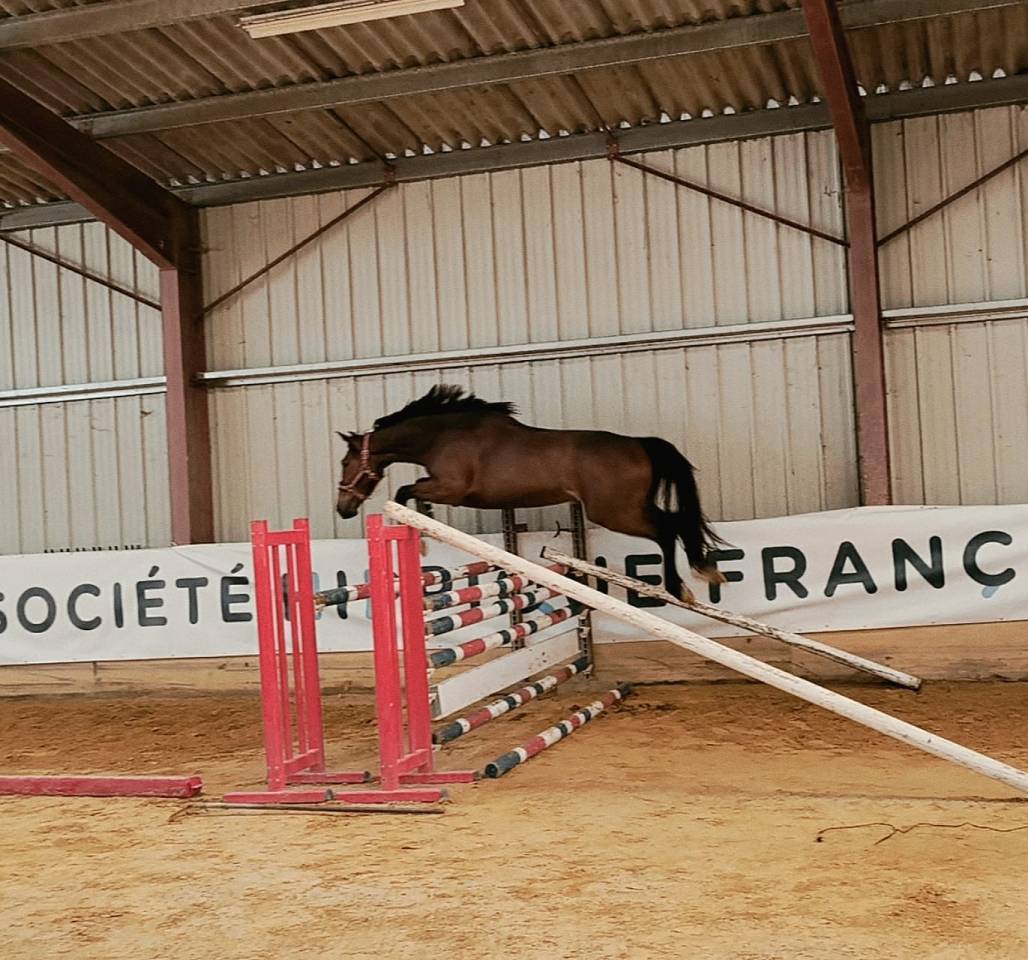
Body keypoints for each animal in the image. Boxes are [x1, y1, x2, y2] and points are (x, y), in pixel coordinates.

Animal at [335, 385, 724, 600]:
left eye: (344, 462)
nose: (343, 508)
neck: (442, 435)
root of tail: (640, 444)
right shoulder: (443, 486)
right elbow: (414, 492)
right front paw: (425, 527)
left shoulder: (453, 489)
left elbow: (405, 491)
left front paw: (422, 541)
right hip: (626, 508)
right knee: (677, 523)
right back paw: (703, 570)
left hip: (615, 511)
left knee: (667, 529)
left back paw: (680, 587)